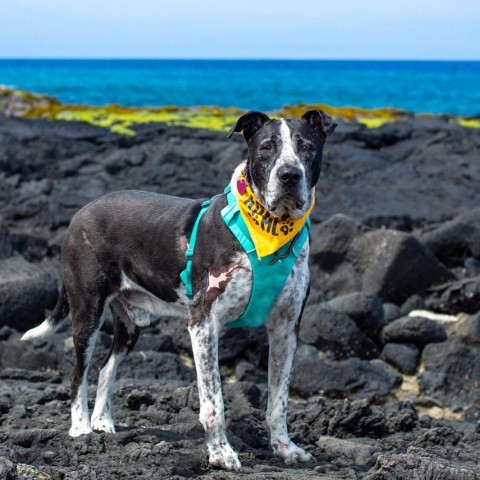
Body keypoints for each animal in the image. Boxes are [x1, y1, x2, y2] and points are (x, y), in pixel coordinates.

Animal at [22, 109, 336, 472]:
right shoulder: (203, 324)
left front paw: (284, 448)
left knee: (104, 370)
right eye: (267, 147)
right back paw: (80, 429)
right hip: (87, 314)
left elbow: (279, 400)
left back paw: (103, 422)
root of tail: (81, 213)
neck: (268, 230)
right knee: (78, 375)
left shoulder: (286, 329)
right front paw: (220, 453)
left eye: (307, 147)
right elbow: (214, 401)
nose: (289, 175)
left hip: (131, 326)